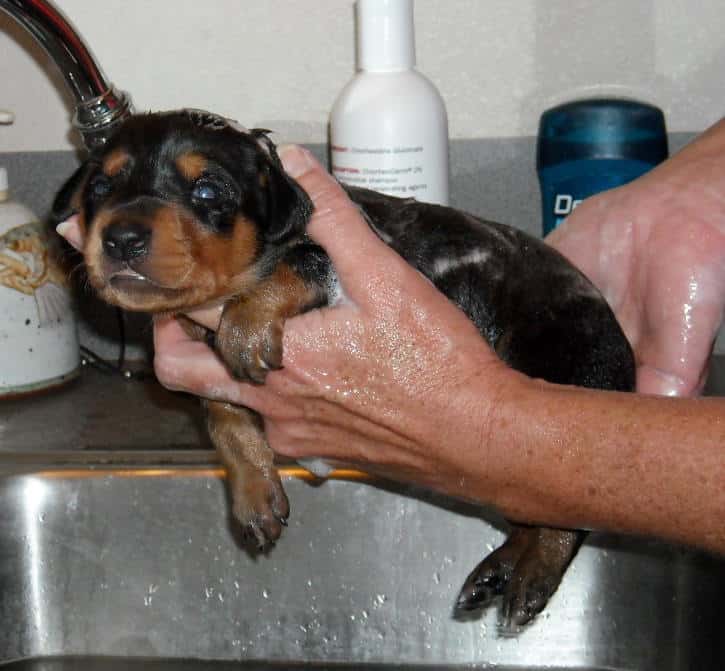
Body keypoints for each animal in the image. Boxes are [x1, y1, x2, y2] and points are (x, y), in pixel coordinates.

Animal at [52, 107, 632, 628]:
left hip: (575, 365)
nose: (122, 238)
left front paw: (246, 326)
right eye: (100, 187)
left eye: (208, 192)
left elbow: (293, 265)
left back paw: (532, 573)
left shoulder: (328, 255)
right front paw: (255, 493)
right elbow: (222, 412)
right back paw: (500, 569)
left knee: (567, 506)